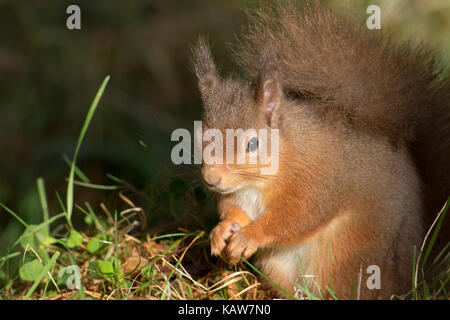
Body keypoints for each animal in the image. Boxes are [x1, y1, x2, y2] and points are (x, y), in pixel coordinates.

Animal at [192, 1, 448, 300]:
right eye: (199, 135)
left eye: (252, 144)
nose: (211, 179)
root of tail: (411, 281)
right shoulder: (236, 194)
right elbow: (232, 209)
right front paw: (223, 231)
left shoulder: (315, 180)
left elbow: (296, 217)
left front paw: (249, 236)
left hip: (345, 257)